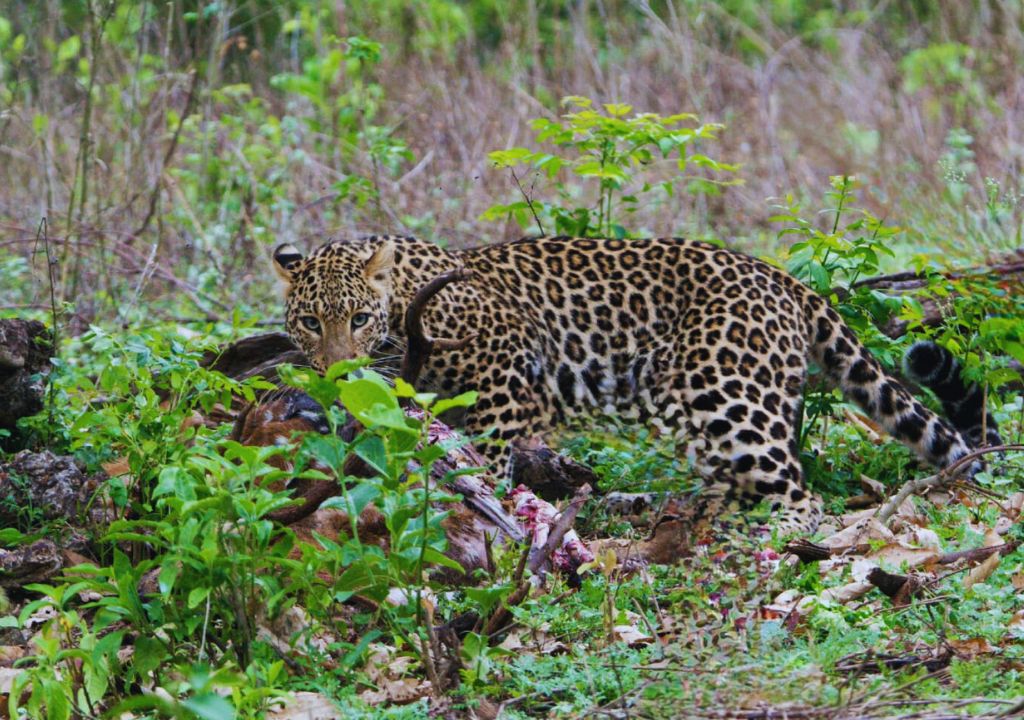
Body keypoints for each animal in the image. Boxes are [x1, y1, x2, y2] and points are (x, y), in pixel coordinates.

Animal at [272, 234, 980, 532]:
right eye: (309, 322)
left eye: (359, 318)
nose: (337, 371)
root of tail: (783, 277)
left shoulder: (505, 369)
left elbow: (491, 457)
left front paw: (493, 514)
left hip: (728, 396)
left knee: (802, 497)